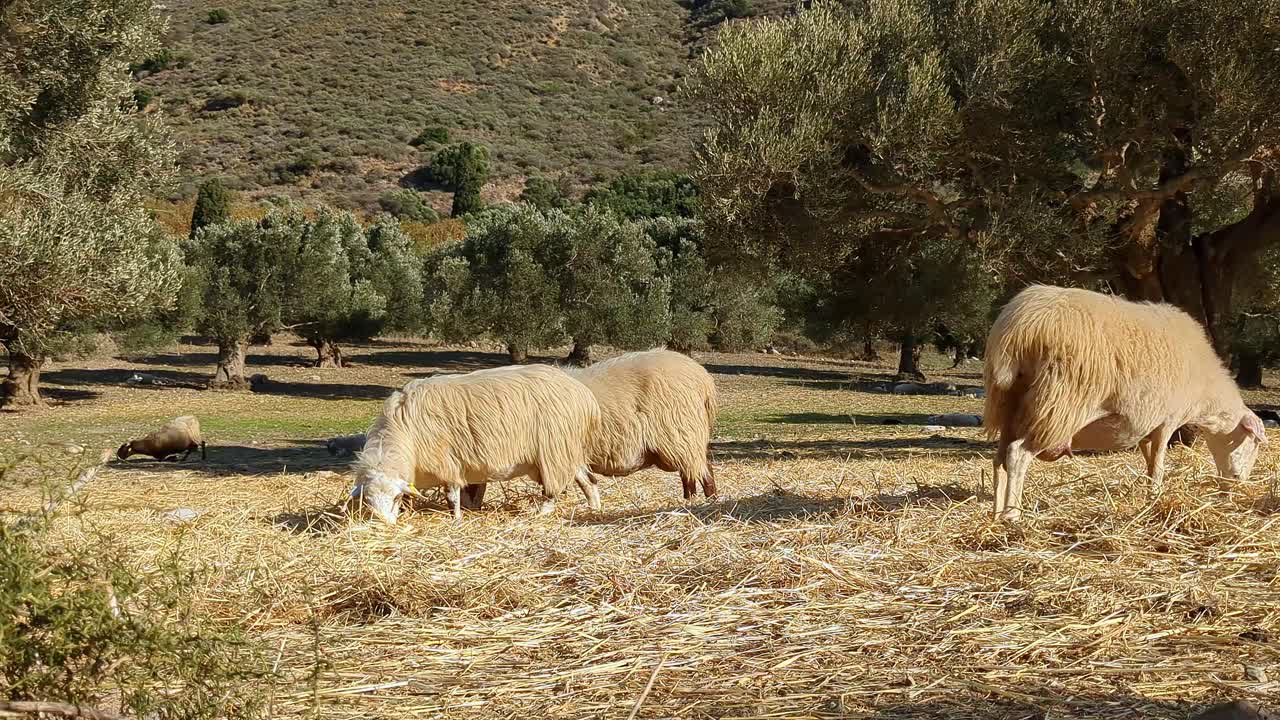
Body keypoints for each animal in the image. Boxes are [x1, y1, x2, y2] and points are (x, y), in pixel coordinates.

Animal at [347, 364, 601, 524]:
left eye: (395, 498)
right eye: (367, 502)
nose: (384, 526)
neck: (402, 430)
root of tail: (584, 394)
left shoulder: (447, 463)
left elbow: (452, 496)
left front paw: (457, 519)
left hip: (554, 449)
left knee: (554, 488)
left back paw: (544, 511)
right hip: (567, 449)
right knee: (588, 480)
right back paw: (594, 508)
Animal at [568, 348, 718, 500]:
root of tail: (703, 377)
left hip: (682, 434)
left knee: (704, 472)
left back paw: (709, 500)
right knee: (690, 474)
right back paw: (690, 500)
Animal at [984, 285, 1267, 521]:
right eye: (1253, 442)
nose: (1237, 486)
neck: (1205, 391)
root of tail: (1018, 328)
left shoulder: (1146, 425)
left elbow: (1149, 463)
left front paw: (1149, 494)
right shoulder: (1168, 420)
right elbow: (1159, 466)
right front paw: (1155, 497)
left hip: (1009, 406)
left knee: (1000, 459)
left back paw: (995, 514)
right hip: (1057, 408)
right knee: (1018, 454)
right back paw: (1012, 515)